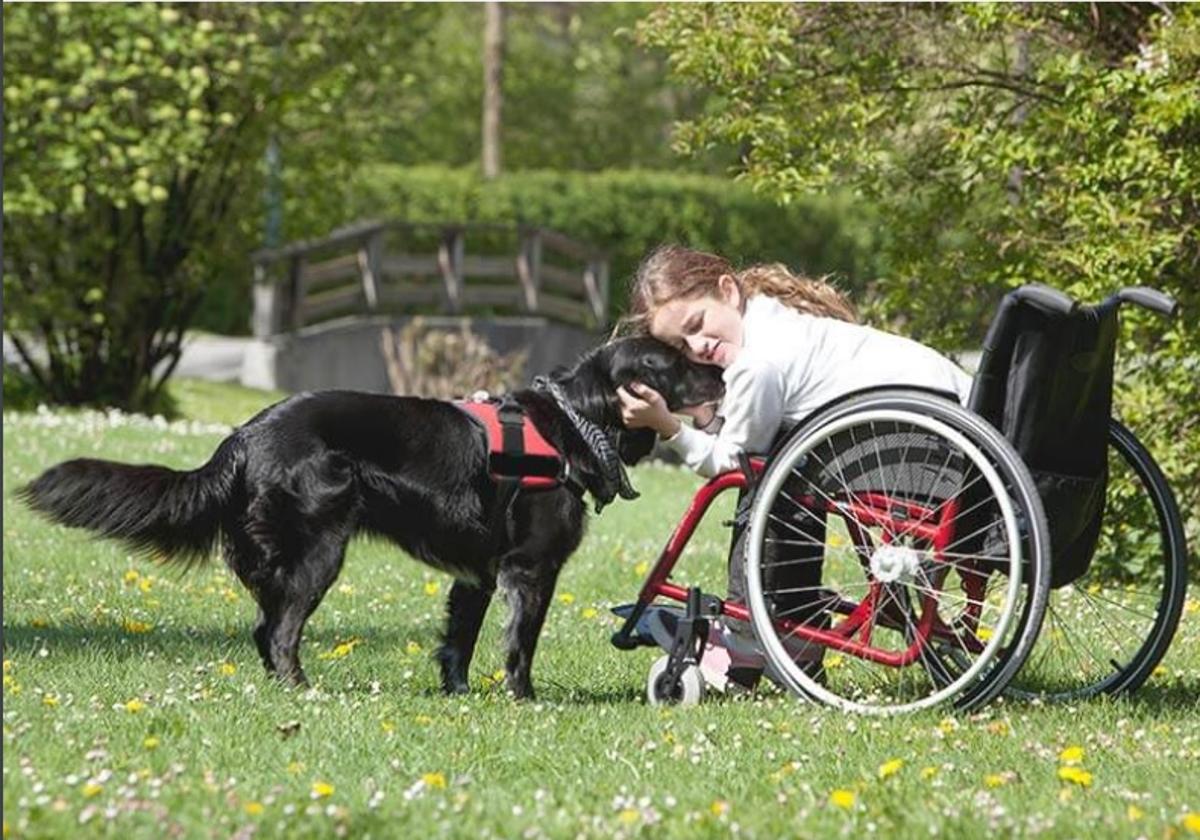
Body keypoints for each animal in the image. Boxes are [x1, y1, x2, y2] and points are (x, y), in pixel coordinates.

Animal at [21, 338, 720, 700]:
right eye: (673, 363)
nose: (719, 366)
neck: (572, 423)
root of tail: (245, 435)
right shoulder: (531, 567)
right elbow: (520, 643)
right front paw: (524, 700)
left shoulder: (477, 573)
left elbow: (458, 640)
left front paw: (458, 696)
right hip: (319, 550)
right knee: (279, 632)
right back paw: (302, 690)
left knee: (264, 628)